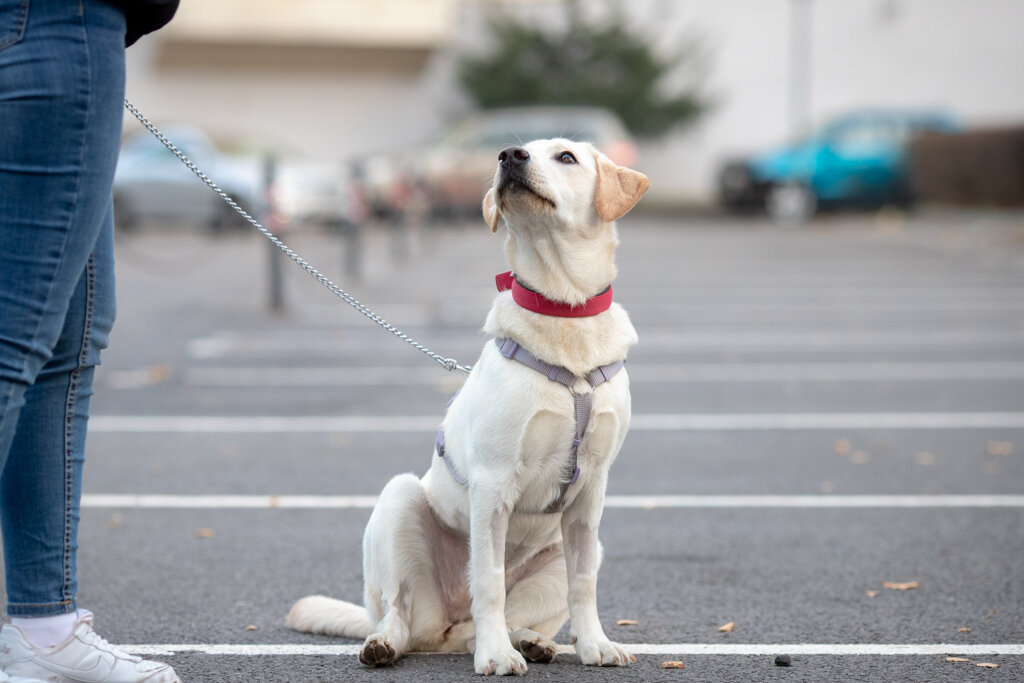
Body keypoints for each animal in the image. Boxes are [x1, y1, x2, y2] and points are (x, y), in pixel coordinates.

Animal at [286, 138, 649, 675]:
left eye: (566, 157)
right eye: (519, 150)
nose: (510, 155)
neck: (564, 316)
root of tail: (446, 626)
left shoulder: (591, 490)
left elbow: (584, 584)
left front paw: (594, 645)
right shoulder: (494, 482)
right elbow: (489, 581)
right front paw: (496, 656)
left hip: (562, 554)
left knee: (490, 621)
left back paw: (530, 641)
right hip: (399, 502)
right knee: (401, 613)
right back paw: (390, 644)